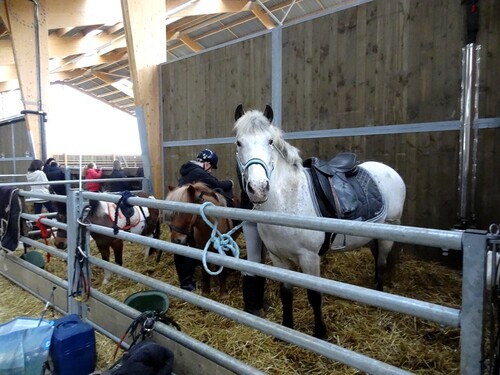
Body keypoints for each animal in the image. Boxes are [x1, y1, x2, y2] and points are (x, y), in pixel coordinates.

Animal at [234, 104, 406, 340]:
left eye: (269, 141)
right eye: (238, 143)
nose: (258, 189)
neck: (287, 202)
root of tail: (390, 171)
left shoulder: (309, 258)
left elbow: (314, 296)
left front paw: (320, 333)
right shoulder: (278, 258)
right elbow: (285, 293)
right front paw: (286, 328)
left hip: (389, 229)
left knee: (381, 263)